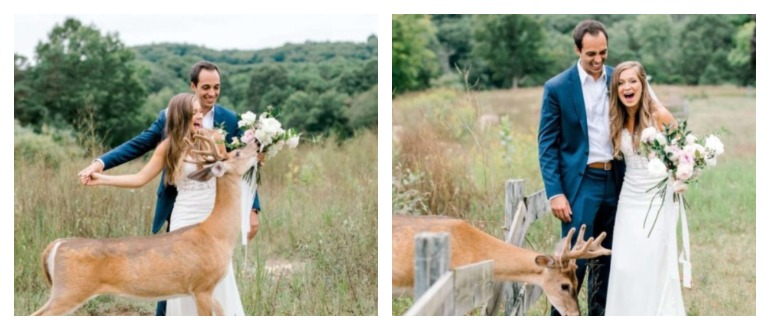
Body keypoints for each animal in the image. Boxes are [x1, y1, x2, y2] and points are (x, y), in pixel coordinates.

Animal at [31, 135, 258, 316]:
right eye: (237, 153)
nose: (256, 142)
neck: (216, 233)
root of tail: (56, 245)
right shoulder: (202, 285)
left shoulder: (206, 290)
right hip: (70, 289)